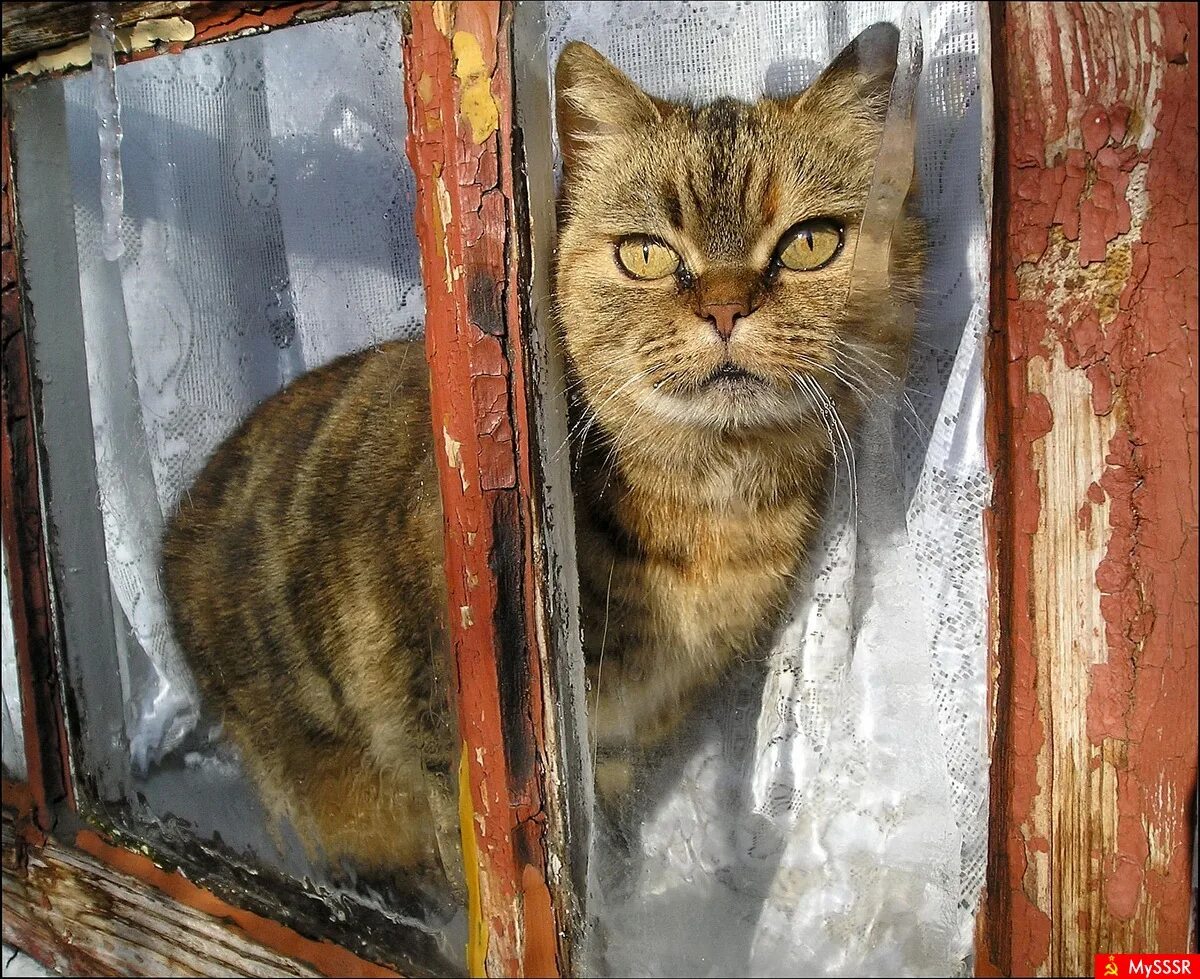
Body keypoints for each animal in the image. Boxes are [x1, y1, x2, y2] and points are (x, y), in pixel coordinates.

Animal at [159, 22, 921, 892]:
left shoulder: (626, 734)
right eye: (646, 254)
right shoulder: (455, 733)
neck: (711, 502)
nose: (726, 309)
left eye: (811, 242)